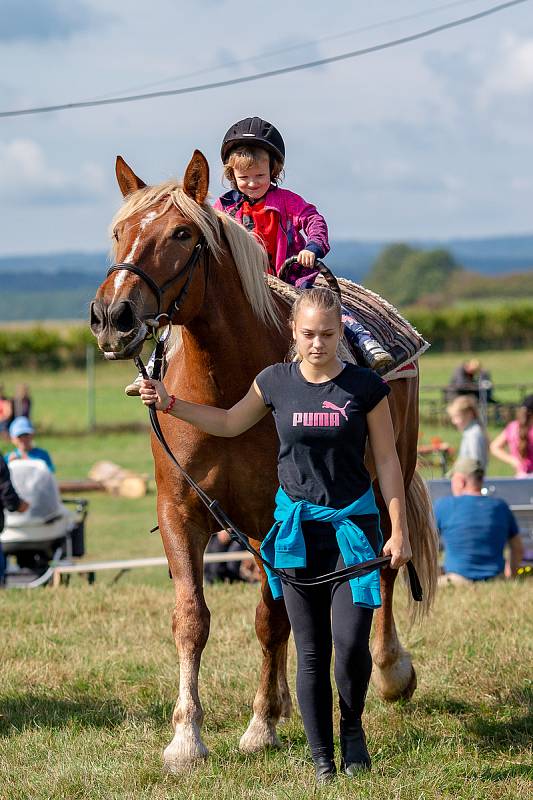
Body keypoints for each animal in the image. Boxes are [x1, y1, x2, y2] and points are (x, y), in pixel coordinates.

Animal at [90, 152, 436, 776]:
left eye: (181, 234)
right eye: (119, 231)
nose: (112, 315)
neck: (226, 385)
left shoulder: (268, 520)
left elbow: (272, 618)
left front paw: (259, 725)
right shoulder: (181, 512)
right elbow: (192, 618)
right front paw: (187, 737)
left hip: (388, 473)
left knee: (384, 570)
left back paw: (390, 671)